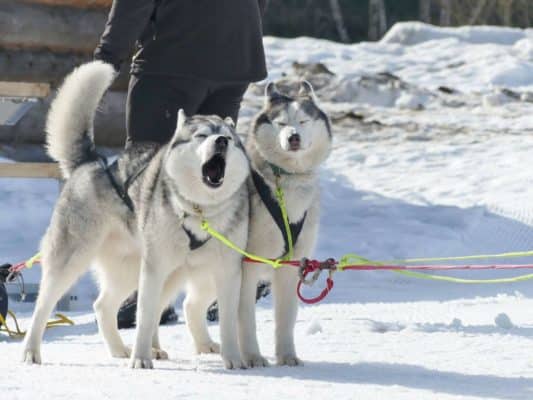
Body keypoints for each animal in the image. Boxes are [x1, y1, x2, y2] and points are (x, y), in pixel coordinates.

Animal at [21, 61, 250, 370]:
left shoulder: (227, 272)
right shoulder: (154, 271)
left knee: (103, 306)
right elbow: (144, 318)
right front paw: (140, 358)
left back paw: (120, 349)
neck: (201, 211)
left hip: (140, 271)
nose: (222, 141)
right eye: (201, 135)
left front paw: (234, 359)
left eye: (228, 136)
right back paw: (31, 350)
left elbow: (227, 324)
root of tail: (92, 161)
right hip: (72, 261)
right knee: (43, 306)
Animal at [238, 80, 330, 366]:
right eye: (280, 123)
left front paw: (287, 355)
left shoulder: (291, 268)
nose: (293, 137)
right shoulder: (247, 267)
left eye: (303, 121)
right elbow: (246, 318)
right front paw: (252, 356)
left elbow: (286, 319)